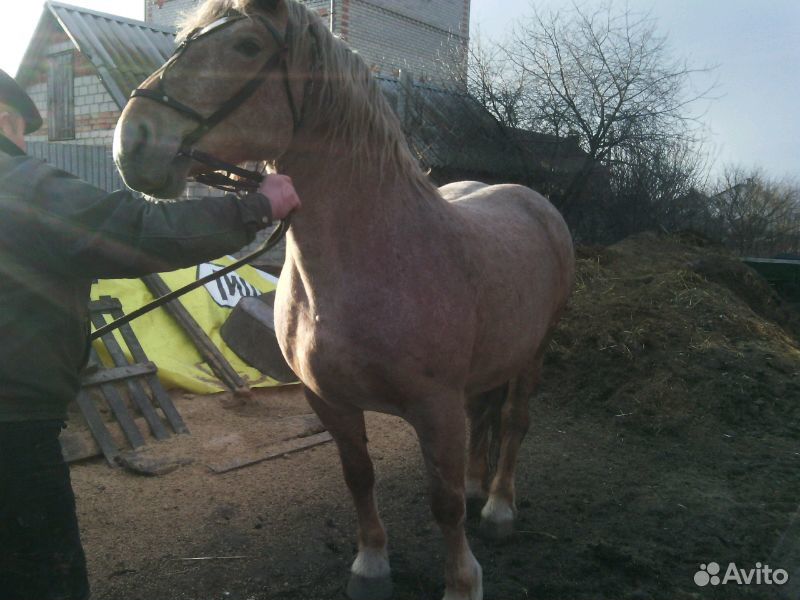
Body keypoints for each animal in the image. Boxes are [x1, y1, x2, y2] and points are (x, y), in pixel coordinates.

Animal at [114, 2, 576, 596]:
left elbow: (444, 501)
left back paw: (497, 507)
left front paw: (461, 579)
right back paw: (480, 488)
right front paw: (372, 564)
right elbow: (360, 477)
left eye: (246, 46)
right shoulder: (328, 401)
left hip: (534, 352)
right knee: (485, 417)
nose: (134, 139)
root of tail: (533, 201)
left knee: (515, 422)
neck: (372, 258)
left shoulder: (436, 407)